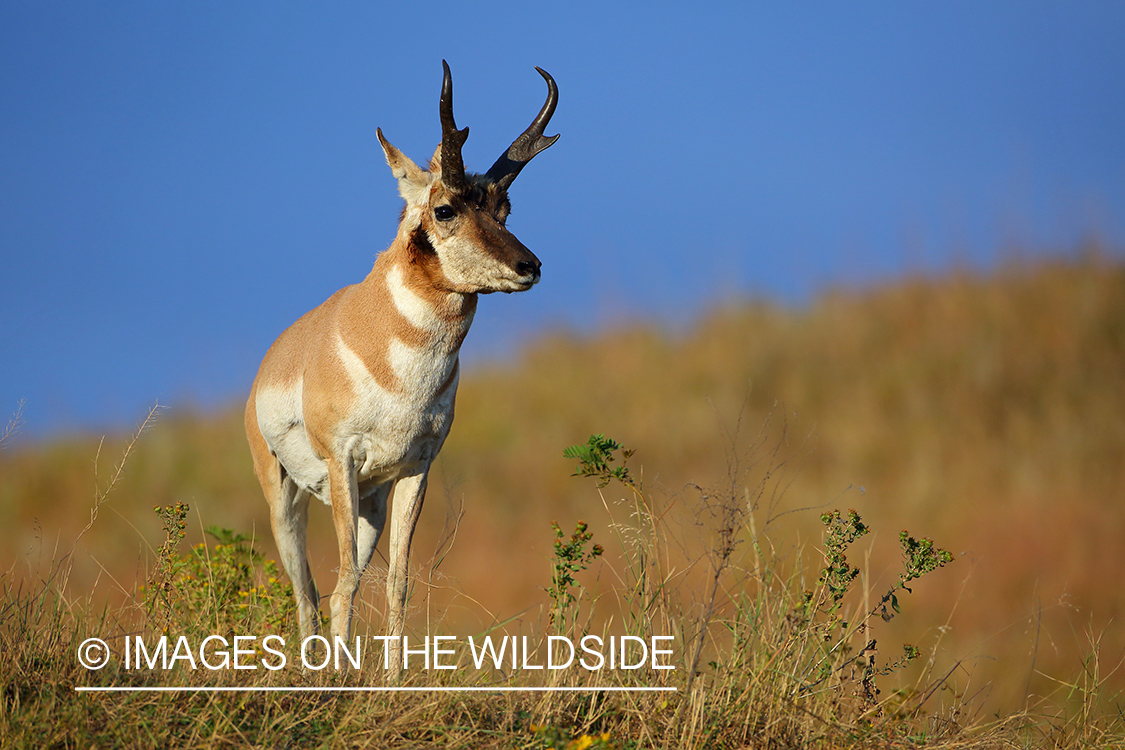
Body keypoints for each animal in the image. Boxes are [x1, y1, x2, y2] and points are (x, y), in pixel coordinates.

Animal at [248, 61, 560, 665]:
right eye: (446, 209)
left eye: (504, 209)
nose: (529, 266)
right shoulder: (341, 462)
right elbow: (346, 579)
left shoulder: (417, 468)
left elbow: (398, 582)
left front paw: (391, 679)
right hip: (285, 494)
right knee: (307, 591)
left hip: (372, 501)